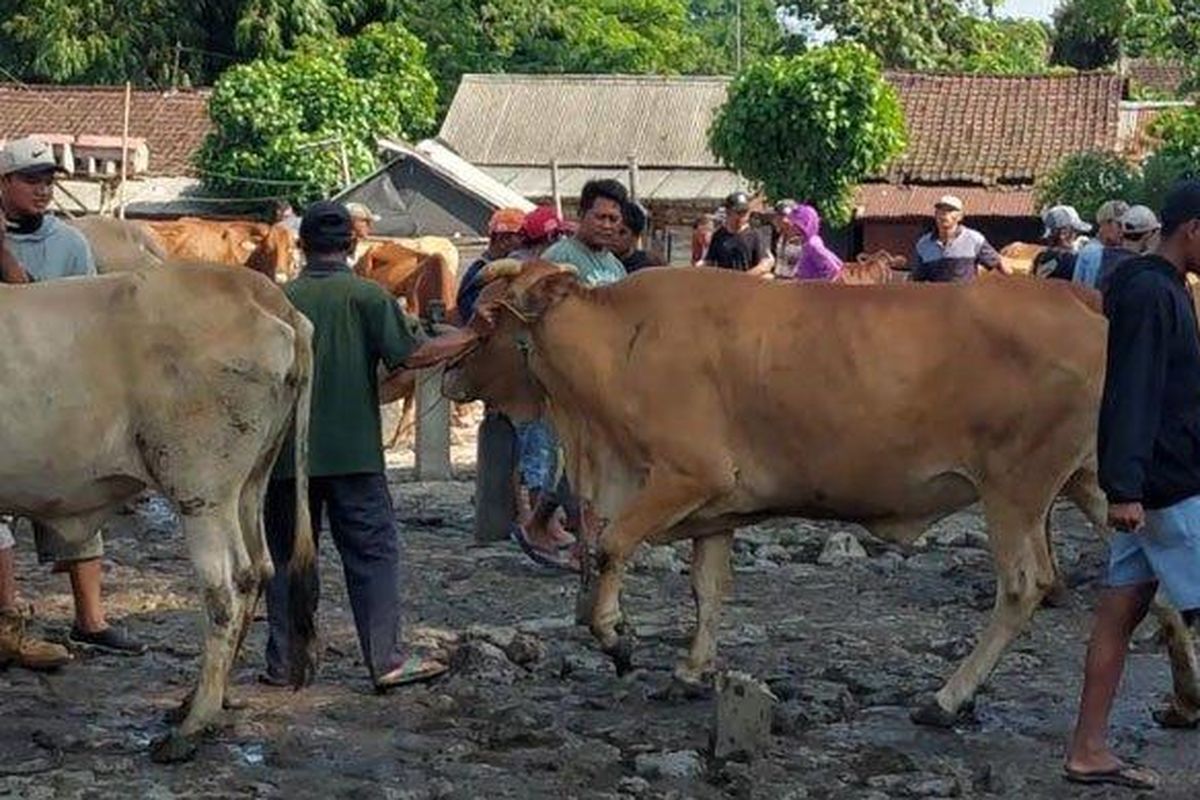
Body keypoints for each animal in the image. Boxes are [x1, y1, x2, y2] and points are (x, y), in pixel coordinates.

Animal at [0, 266, 314, 762]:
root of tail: (263, 292)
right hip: (248, 483)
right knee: (258, 570)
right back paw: (204, 701)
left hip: (202, 492)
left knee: (225, 589)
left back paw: (193, 724)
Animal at [405, 263, 1200, 734]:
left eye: (487, 316)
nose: (448, 371)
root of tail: (1083, 299)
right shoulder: (716, 509)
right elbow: (708, 589)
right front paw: (691, 670)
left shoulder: (687, 476)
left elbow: (610, 546)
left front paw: (616, 636)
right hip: (1093, 483)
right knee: (1158, 585)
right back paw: (1184, 697)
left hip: (1017, 489)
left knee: (1026, 584)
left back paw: (948, 697)